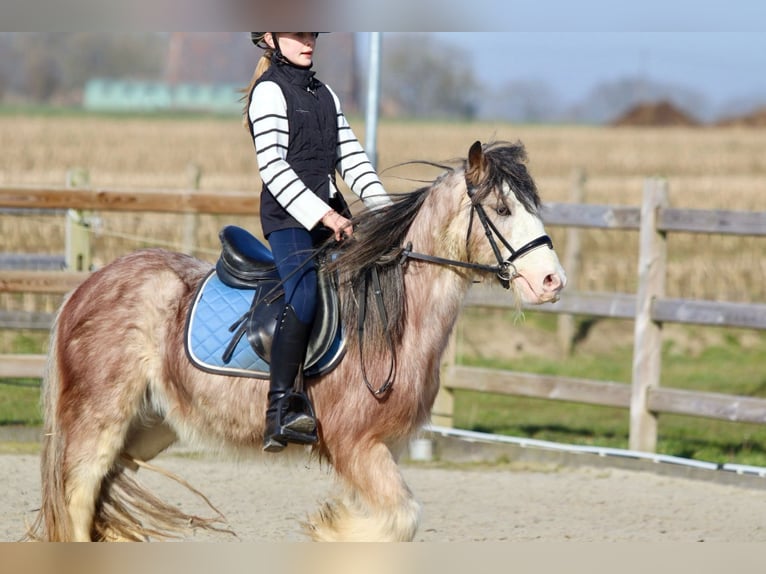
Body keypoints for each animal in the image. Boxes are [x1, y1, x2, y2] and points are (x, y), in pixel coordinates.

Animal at [27, 141, 568, 544]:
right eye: (502, 208)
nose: (552, 282)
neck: (389, 318)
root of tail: (87, 285)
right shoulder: (355, 446)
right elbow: (401, 519)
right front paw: (331, 527)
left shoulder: (383, 450)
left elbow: (398, 521)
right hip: (100, 420)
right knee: (77, 498)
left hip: (151, 425)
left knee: (100, 496)